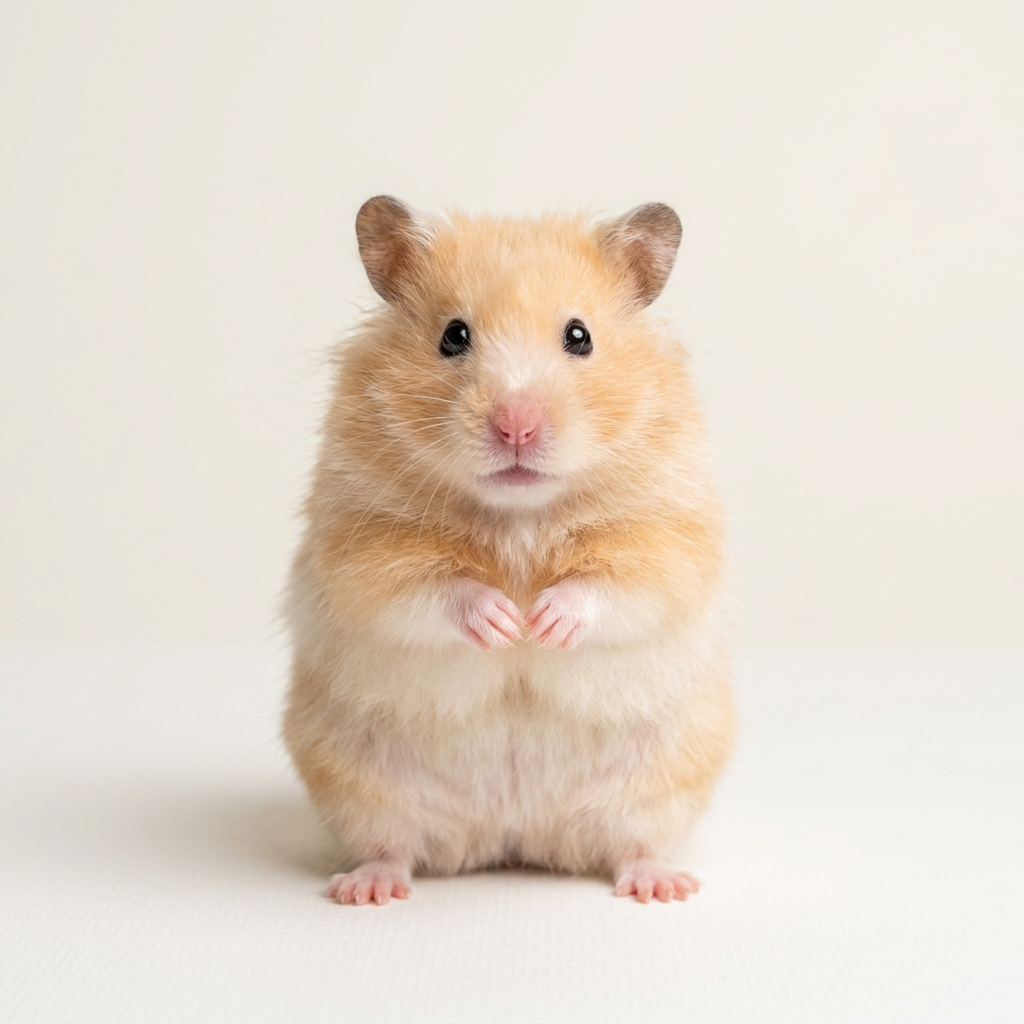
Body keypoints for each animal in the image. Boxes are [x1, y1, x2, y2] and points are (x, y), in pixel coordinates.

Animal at [283, 196, 735, 905]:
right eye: (453, 336)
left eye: (579, 336)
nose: (515, 427)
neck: (519, 515)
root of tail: (515, 835)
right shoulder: (362, 545)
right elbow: (429, 590)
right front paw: (504, 625)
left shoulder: (666, 539)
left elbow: (614, 586)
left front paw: (541, 625)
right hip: (359, 782)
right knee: (392, 846)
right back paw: (367, 890)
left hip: (664, 777)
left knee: (634, 842)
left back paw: (661, 885)